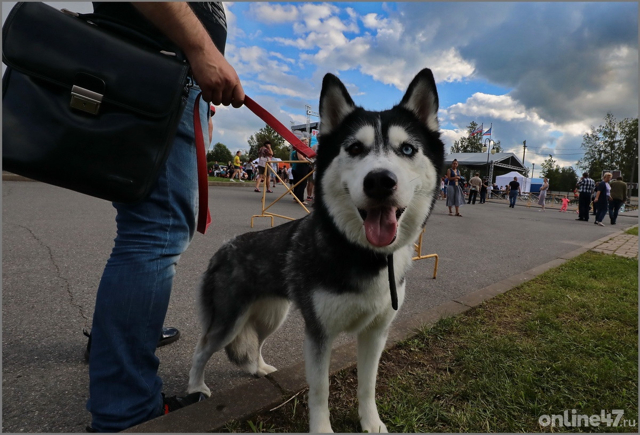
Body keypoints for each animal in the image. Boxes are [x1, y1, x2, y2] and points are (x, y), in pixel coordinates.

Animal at [188, 69, 442, 432]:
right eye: (354, 147)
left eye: (407, 148)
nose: (380, 181)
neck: (363, 254)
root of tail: (224, 247)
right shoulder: (319, 333)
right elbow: (319, 389)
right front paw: (322, 428)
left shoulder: (376, 332)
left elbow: (368, 384)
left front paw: (371, 423)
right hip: (229, 320)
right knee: (202, 349)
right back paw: (196, 387)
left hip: (271, 316)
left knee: (255, 344)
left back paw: (259, 368)